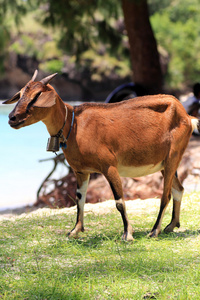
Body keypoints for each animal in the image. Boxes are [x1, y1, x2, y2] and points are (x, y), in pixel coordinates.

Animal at [3, 69, 200, 239]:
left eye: (37, 96)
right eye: (20, 94)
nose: (12, 118)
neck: (73, 125)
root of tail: (188, 117)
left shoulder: (109, 166)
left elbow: (119, 201)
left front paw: (127, 234)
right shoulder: (81, 170)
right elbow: (79, 199)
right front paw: (75, 231)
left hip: (173, 155)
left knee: (165, 195)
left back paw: (154, 231)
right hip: (164, 162)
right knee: (178, 189)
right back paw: (171, 225)